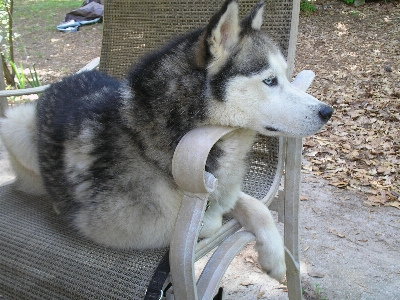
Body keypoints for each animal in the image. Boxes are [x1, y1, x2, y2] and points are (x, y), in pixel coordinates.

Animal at [0, 0, 332, 282]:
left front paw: (275, 257)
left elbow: (253, 205)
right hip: (15, 123)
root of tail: (62, 80)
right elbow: (209, 222)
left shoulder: (220, 189)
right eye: (269, 80)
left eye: (285, 76)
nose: (327, 112)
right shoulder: (120, 228)